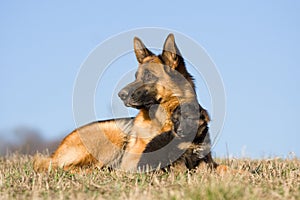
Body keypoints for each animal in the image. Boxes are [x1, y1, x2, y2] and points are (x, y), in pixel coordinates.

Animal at [32, 33, 216, 173]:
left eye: (149, 76)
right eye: (136, 76)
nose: (121, 95)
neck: (165, 121)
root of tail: (56, 151)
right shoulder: (136, 160)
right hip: (113, 132)